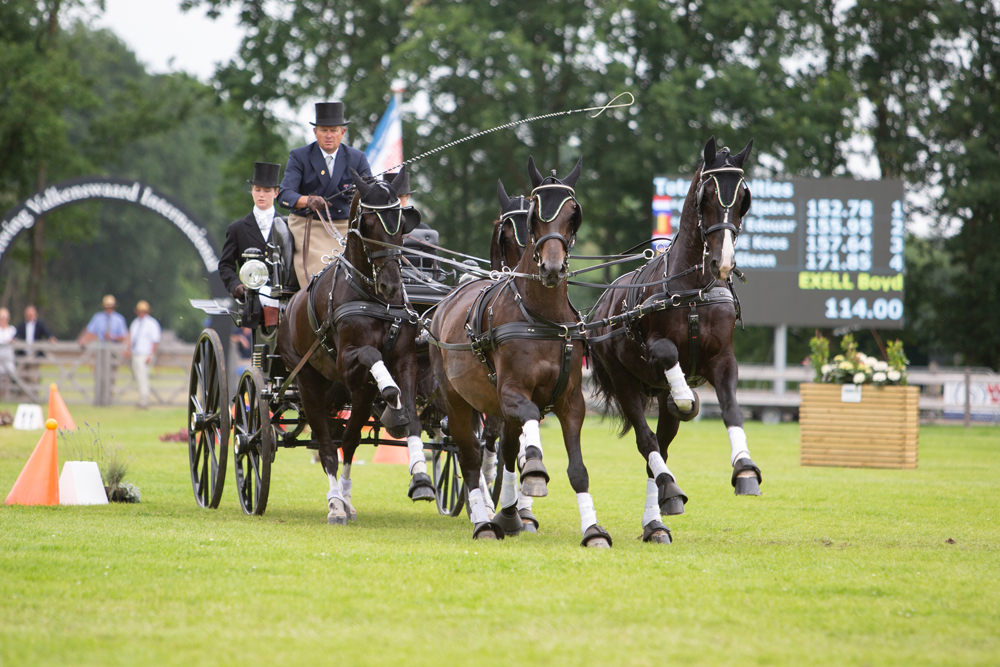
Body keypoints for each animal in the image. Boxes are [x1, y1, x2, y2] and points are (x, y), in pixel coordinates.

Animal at [278, 166, 430, 520]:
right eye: (369, 224)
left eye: (401, 223)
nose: (391, 285)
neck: (374, 299)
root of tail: (289, 305)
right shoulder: (347, 360)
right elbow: (373, 354)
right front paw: (389, 390)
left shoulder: (405, 359)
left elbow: (413, 420)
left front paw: (420, 476)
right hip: (308, 383)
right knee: (325, 445)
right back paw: (335, 504)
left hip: (357, 395)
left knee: (347, 442)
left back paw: (346, 499)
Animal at [428, 158, 612, 548]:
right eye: (534, 217)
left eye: (573, 214)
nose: (552, 268)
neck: (541, 317)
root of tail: (443, 304)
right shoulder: (511, 392)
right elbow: (522, 428)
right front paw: (536, 473)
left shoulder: (571, 402)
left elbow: (576, 469)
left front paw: (592, 530)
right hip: (456, 400)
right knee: (468, 456)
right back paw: (483, 521)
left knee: (502, 450)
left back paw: (508, 514)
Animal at [588, 138, 760, 544]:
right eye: (706, 196)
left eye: (743, 198)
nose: (722, 263)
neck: (692, 289)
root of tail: (603, 304)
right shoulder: (655, 349)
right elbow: (670, 361)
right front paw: (685, 396)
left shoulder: (723, 359)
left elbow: (732, 409)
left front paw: (745, 468)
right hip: (623, 381)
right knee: (646, 441)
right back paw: (668, 489)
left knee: (660, 450)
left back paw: (658, 518)